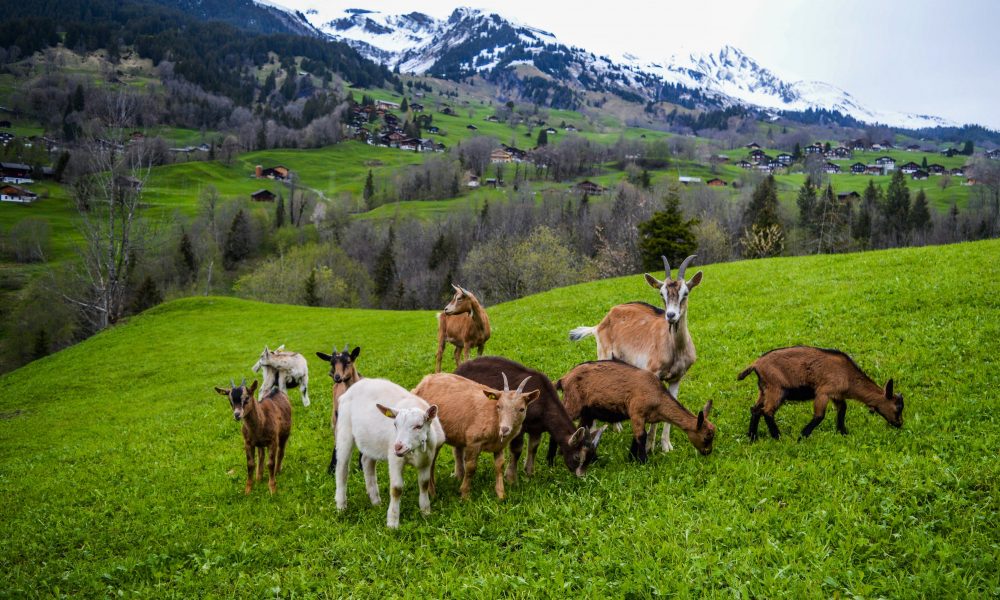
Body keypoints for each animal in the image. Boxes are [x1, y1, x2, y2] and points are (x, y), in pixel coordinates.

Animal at [334, 378, 445, 529]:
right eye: (395, 425)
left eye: (419, 426)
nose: (398, 446)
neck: (414, 452)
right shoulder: (394, 459)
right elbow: (396, 489)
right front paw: (392, 522)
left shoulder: (427, 460)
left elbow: (424, 484)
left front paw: (426, 511)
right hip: (344, 428)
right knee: (342, 467)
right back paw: (341, 505)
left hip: (371, 438)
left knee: (367, 462)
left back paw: (376, 501)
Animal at [454, 356, 604, 480]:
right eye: (577, 457)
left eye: (590, 458)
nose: (581, 477)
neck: (544, 404)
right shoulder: (518, 426)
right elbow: (517, 450)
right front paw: (511, 478)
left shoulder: (536, 429)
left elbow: (533, 447)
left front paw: (530, 473)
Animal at [556, 360, 715, 463]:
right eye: (706, 437)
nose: (708, 452)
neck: (658, 397)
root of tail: (564, 379)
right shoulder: (636, 412)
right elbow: (641, 436)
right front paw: (643, 462)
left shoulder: (641, 417)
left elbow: (637, 436)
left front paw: (631, 459)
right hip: (572, 403)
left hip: (587, 412)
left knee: (580, 429)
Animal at [569, 255, 702, 454]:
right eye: (661, 294)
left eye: (685, 293)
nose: (671, 316)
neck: (674, 349)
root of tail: (601, 323)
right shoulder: (653, 373)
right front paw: (649, 446)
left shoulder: (677, 378)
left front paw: (666, 445)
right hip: (604, 355)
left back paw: (615, 426)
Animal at [738, 346, 904, 441]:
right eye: (897, 408)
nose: (900, 424)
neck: (848, 375)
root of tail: (756, 364)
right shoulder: (824, 392)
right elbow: (819, 416)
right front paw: (802, 437)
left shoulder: (837, 395)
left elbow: (842, 410)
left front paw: (843, 433)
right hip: (776, 389)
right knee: (767, 411)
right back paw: (777, 437)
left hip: (764, 389)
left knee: (755, 409)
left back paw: (752, 437)